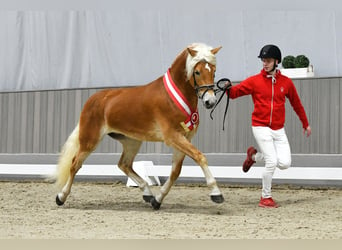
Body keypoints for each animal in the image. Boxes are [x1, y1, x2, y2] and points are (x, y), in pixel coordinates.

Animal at [53, 43, 224, 209]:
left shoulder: (184, 138)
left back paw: (147, 193)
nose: (210, 101)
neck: (172, 97)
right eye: (197, 72)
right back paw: (61, 197)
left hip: (131, 141)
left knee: (124, 164)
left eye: (214, 71)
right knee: (75, 164)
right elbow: (199, 156)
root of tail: (92, 99)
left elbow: (175, 172)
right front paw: (216, 193)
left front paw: (157, 200)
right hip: (90, 140)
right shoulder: (173, 137)